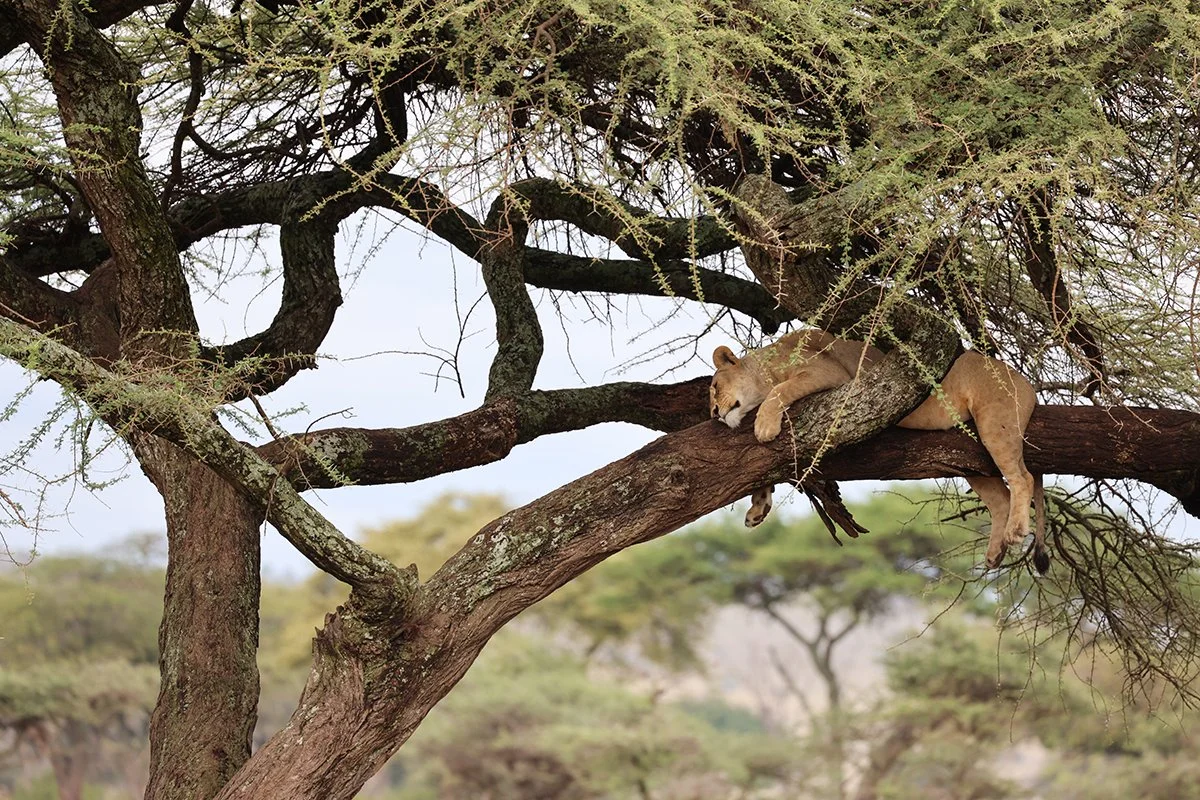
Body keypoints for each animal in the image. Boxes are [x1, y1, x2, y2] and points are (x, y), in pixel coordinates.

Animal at [710, 329, 1047, 573]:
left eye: (714, 386)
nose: (714, 414)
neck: (768, 363)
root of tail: (1027, 383)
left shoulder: (828, 375)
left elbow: (781, 391)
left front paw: (764, 426)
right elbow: (763, 471)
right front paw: (758, 509)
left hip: (994, 422)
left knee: (1023, 478)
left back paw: (1016, 532)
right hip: (971, 459)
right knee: (1001, 498)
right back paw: (995, 553)